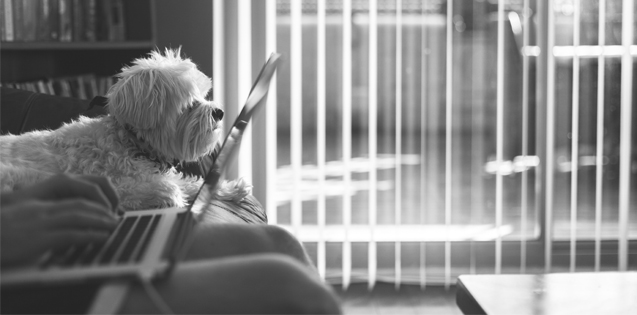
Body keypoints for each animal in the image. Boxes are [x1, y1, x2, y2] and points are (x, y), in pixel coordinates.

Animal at [0, 48, 248, 214]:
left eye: (203, 95)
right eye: (189, 103)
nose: (219, 112)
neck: (131, 143)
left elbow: (192, 183)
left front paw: (231, 188)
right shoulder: (115, 184)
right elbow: (164, 188)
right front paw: (170, 197)